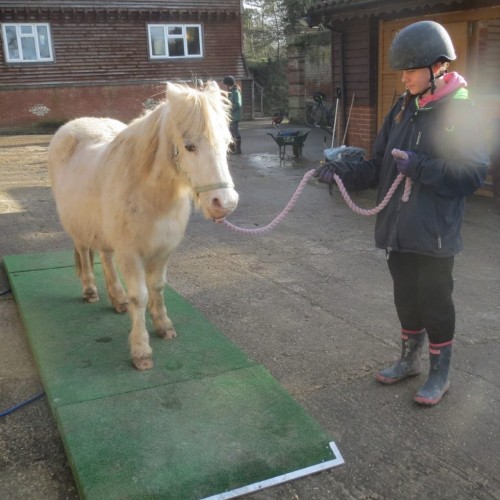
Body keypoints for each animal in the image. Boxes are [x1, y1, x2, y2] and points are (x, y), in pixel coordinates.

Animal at [47, 82, 239, 370]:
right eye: (189, 146)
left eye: (227, 144)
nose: (224, 203)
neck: (151, 195)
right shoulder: (130, 254)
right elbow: (140, 296)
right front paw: (141, 351)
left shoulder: (163, 250)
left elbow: (157, 287)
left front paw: (164, 326)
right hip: (78, 226)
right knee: (84, 252)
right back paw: (91, 291)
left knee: (105, 257)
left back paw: (118, 299)